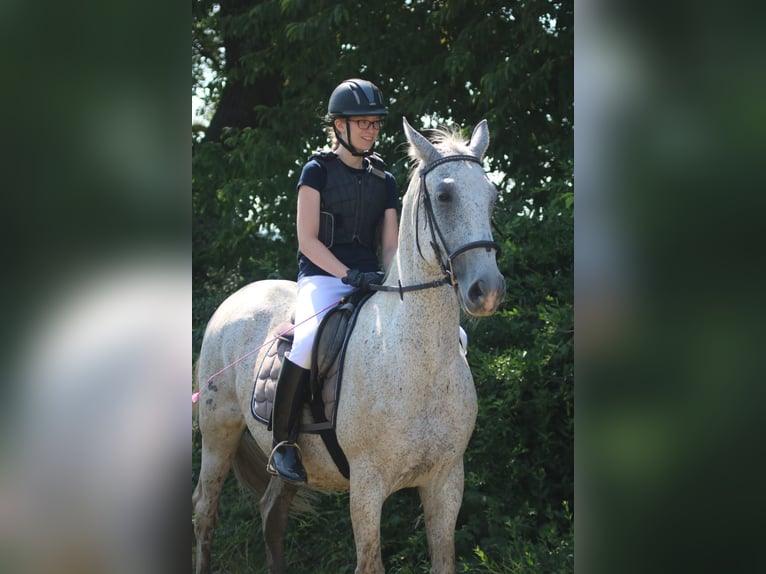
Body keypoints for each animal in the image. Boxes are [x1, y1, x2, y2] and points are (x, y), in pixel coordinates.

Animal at [192, 118, 508, 574]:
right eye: (445, 196)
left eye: (492, 197)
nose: (488, 291)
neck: (416, 360)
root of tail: (237, 298)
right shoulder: (367, 486)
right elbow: (370, 562)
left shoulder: (446, 480)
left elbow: (443, 559)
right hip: (219, 433)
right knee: (205, 511)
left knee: (272, 513)